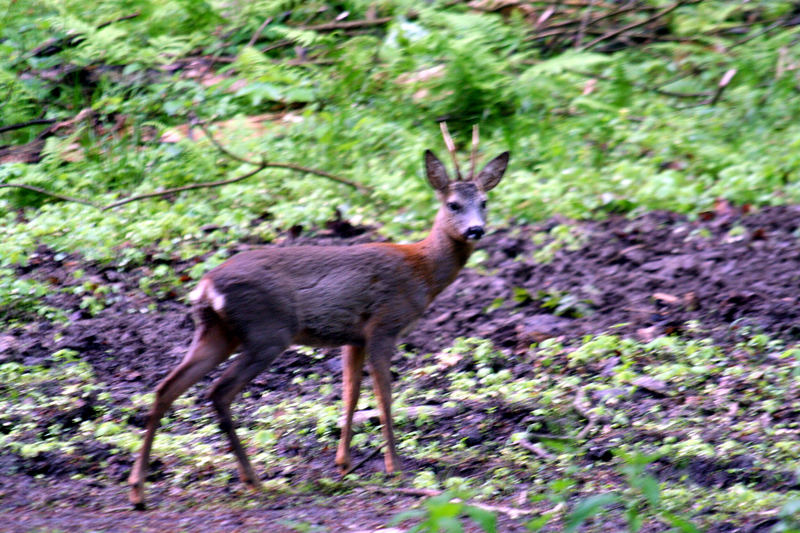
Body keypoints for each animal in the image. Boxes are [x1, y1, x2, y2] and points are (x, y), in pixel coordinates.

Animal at [128, 122, 510, 510]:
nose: (475, 230)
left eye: (484, 202)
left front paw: (344, 464)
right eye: (452, 204)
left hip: (217, 332)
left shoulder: (354, 336)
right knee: (219, 391)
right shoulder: (384, 324)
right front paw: (394, 467)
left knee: (165, 388)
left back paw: (138, 490)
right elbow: (385, 397)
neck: (421, 271)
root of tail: (206, 286)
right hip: (267, 332)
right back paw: (253, 480)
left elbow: (350, 393)